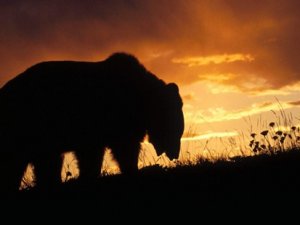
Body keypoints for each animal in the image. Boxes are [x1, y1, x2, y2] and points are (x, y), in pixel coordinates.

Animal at [0, 51, 184, 192]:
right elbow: (123, 149)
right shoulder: (111, 119)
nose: (175, 154)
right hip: (32, 123)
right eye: (177, 129)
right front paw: (132, 170)